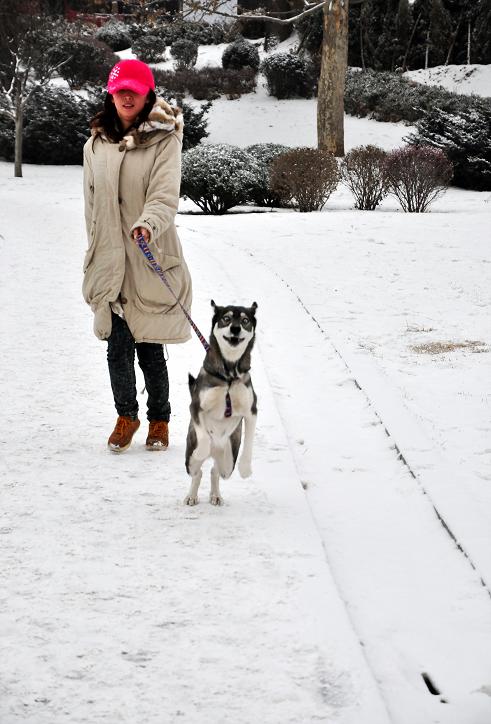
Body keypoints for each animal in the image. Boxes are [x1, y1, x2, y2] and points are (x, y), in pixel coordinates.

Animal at [185, 298, 260, 504]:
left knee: (215, 471)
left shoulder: (251, 411)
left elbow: (249, 442)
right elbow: (203, 436)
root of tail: (216, 451)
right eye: (226, 318)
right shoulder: (196, 406)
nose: (235, 329)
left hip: (228, 461)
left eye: (245, 321)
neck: (229, 375)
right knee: (197, 472)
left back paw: (216, 495)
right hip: (189, 460)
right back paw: (191, 496)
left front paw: (246, 469)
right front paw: (202, 450)